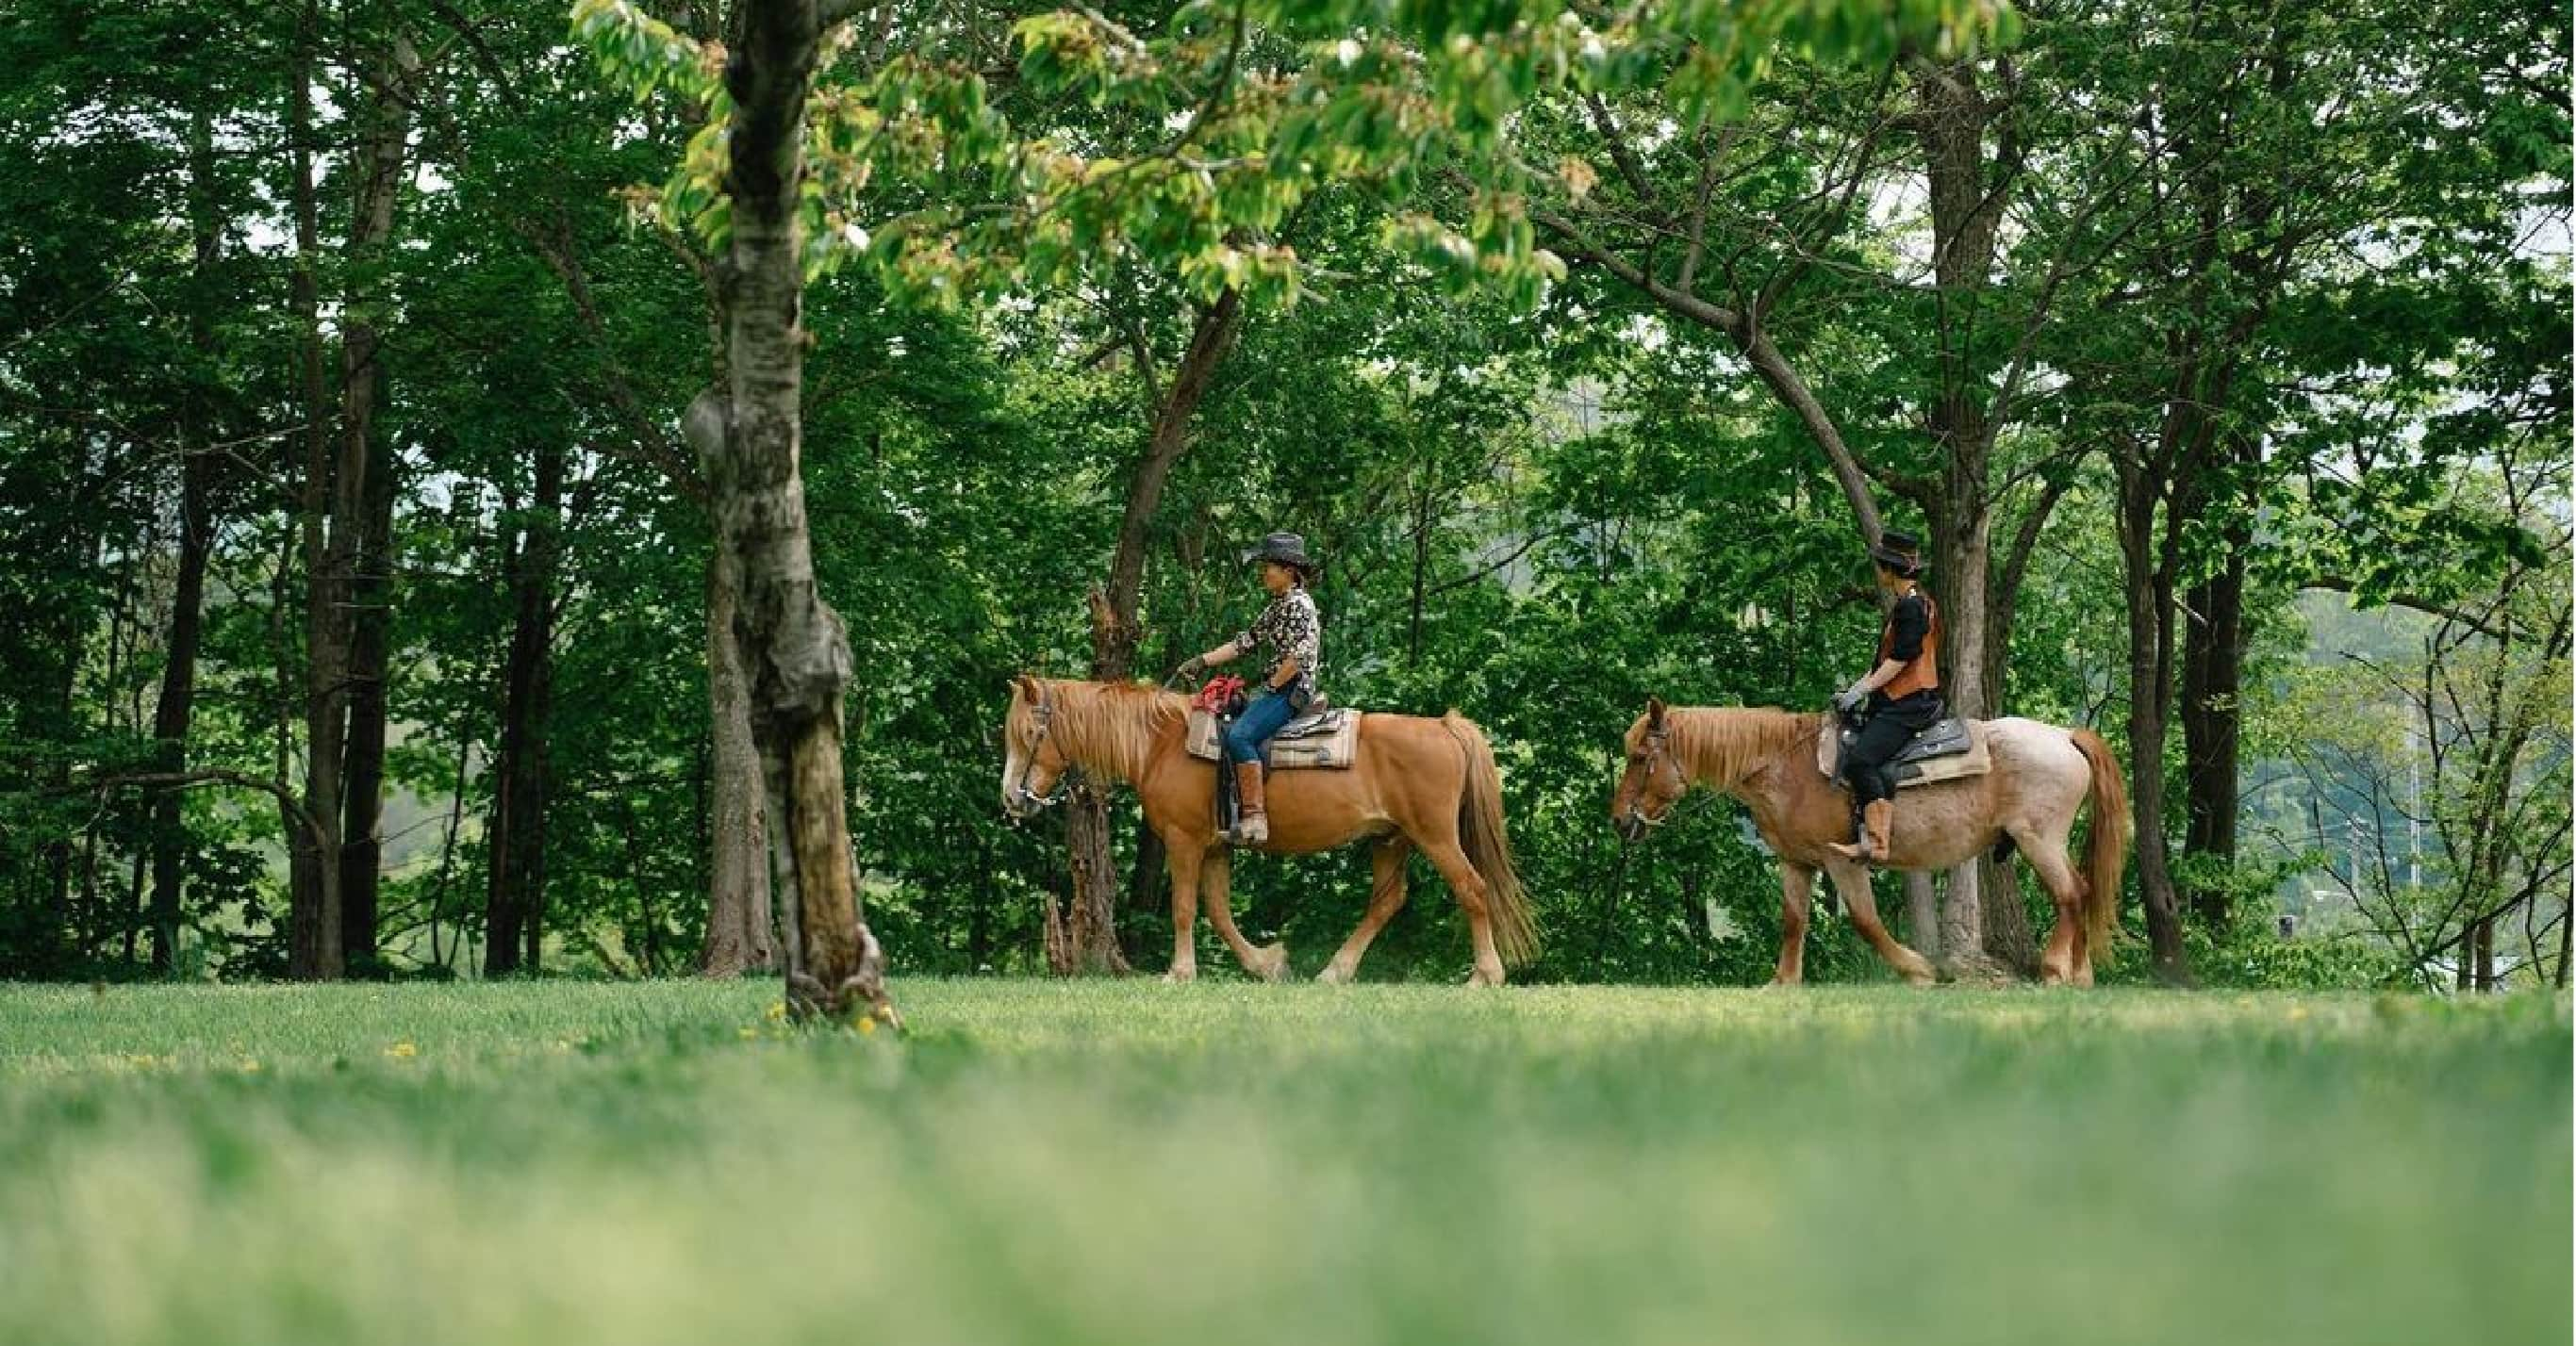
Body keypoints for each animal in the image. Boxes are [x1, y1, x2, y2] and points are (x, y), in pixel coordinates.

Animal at [999, 679, 1525, 983]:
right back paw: (1335, 972)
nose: (1011, 798)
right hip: (1389, 840)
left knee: (1472, 888)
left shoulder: (1184, 841)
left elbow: (1185, 909)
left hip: (1435, 836)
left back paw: (1485, 975)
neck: (1160, 744)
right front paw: (1267, 963)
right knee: (1386, 902)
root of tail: (1443, 726)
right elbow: (1218, 911)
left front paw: (1179, 973)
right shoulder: (1215, 848)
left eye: (1027, 734)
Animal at [1607, 699, 2133, 983]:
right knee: (2083, 892)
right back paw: (2081, 974)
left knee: (2070, 895)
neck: (1785, 766)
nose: (1619, 821)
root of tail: (2064, 736)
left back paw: (2055, 970)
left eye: (1640, 758)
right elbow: (1794, 922)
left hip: (2038, 839)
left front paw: (1918, 970)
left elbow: (1866, 922)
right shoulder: (1796, 863)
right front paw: (1783, 982)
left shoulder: (1843, 862)